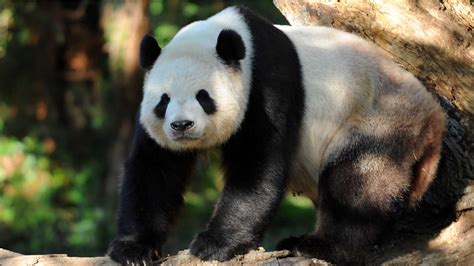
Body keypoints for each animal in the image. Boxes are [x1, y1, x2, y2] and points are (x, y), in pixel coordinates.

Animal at [107, 5, 444, 264]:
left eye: (204, 96)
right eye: (163, 100)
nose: (181, 125)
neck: (223, 34)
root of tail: (434, 120)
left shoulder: (266, 83)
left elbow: (259, 164)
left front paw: (214, 243)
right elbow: (155, 168)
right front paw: (133, 249)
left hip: (379, 115)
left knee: (358, 179)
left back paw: (316, 245)